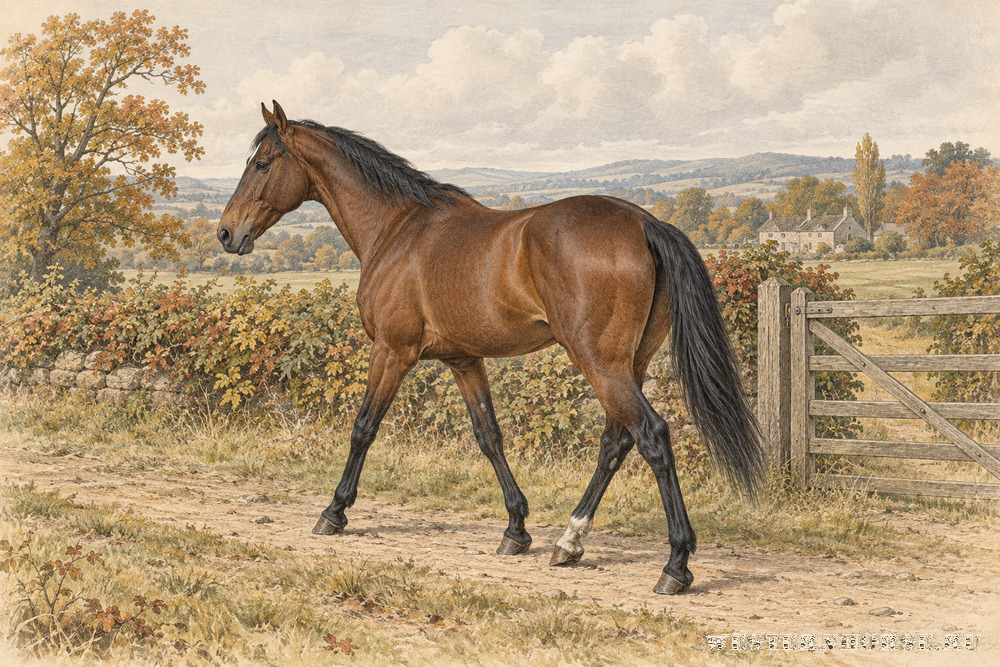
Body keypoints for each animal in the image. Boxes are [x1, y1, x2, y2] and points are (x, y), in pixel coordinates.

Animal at [218, 101, 763, 595]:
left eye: (262, 163)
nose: (226, 233)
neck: (398, 231)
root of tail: (644, 223)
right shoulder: (464, 360)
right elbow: (490, 437)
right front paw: (516, 530)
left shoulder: (392, 352)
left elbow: (363, 428)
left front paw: (334, 512)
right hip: (631, 364)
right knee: (616, 442)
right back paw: (569, 542)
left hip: (600, 363)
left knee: (651, 436)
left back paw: (675, 565)